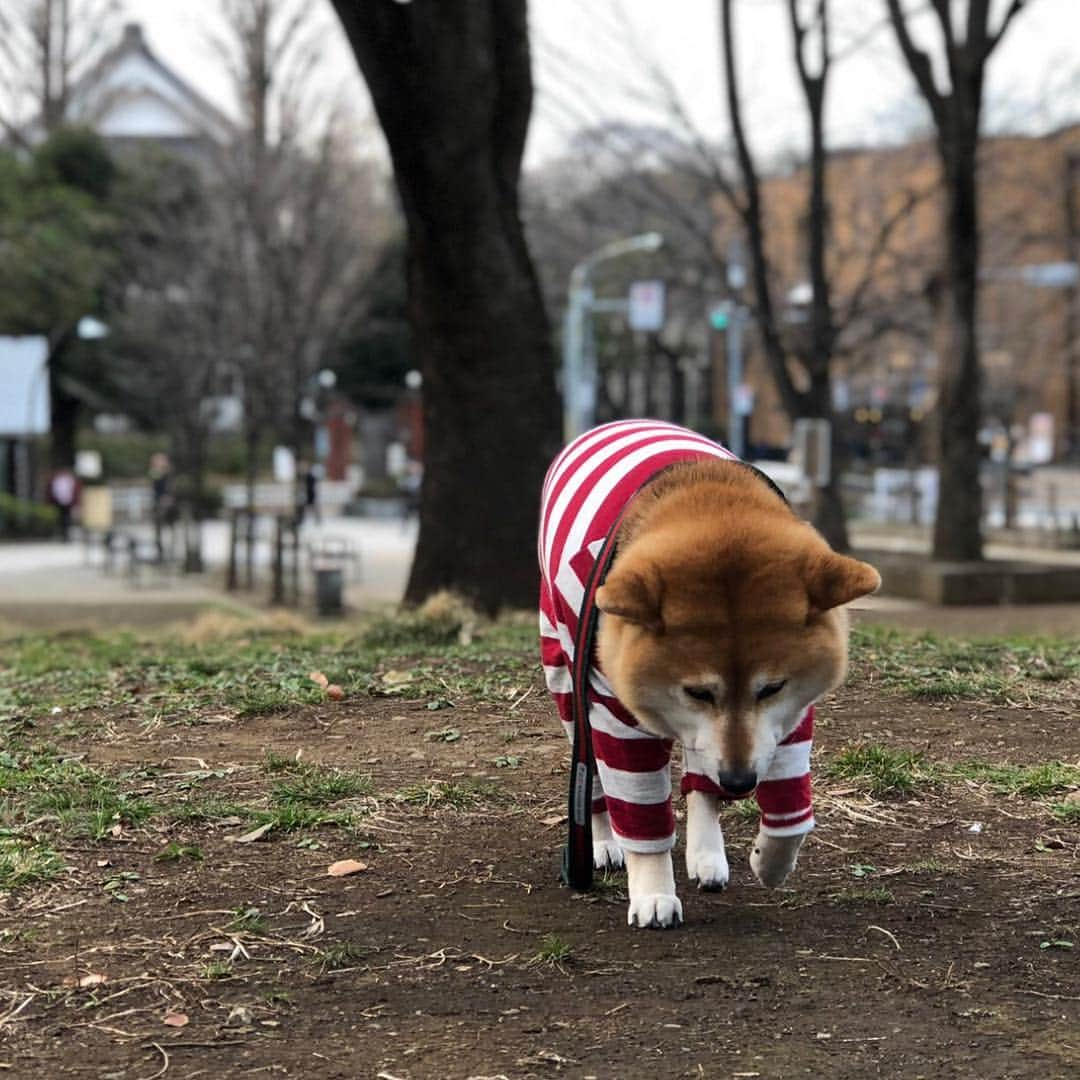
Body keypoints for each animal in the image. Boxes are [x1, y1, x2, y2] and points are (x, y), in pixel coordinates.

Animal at [537, 421, 876, 928]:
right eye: (696, 692)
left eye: (772, 687)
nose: (739, 782)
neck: (709, 499)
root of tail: (618, 423)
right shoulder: (613, 714)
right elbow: (641, 818)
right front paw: (653, 891)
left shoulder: (787, 720)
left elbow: (790, 809)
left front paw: (771, 860)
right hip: (568, 682)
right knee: (592, 781)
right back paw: (603, 841)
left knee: (701, 782)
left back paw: (706, 853)